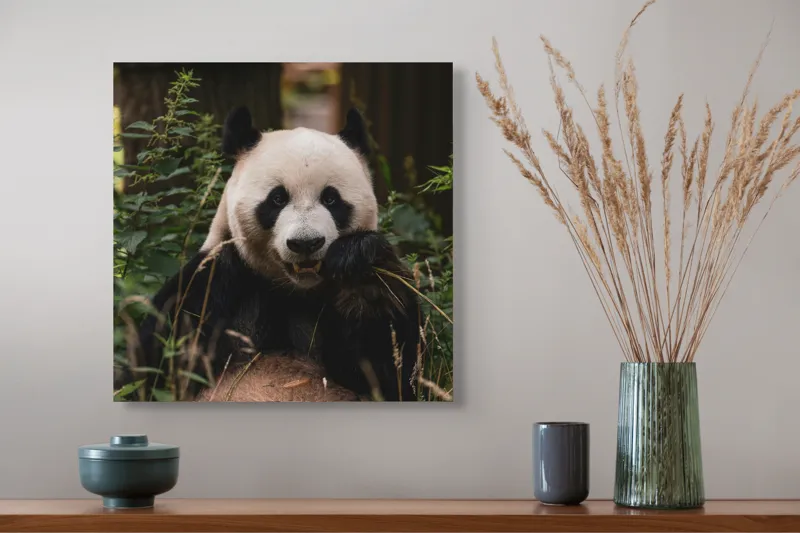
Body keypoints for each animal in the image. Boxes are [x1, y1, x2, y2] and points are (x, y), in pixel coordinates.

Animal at [118, 107, 421, 402]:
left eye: (331, 198)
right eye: (277, 198)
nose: (306, 243)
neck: (292, 290)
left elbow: (389, 371)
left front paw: (359, 266)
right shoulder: (212, 282)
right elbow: (153, 368)